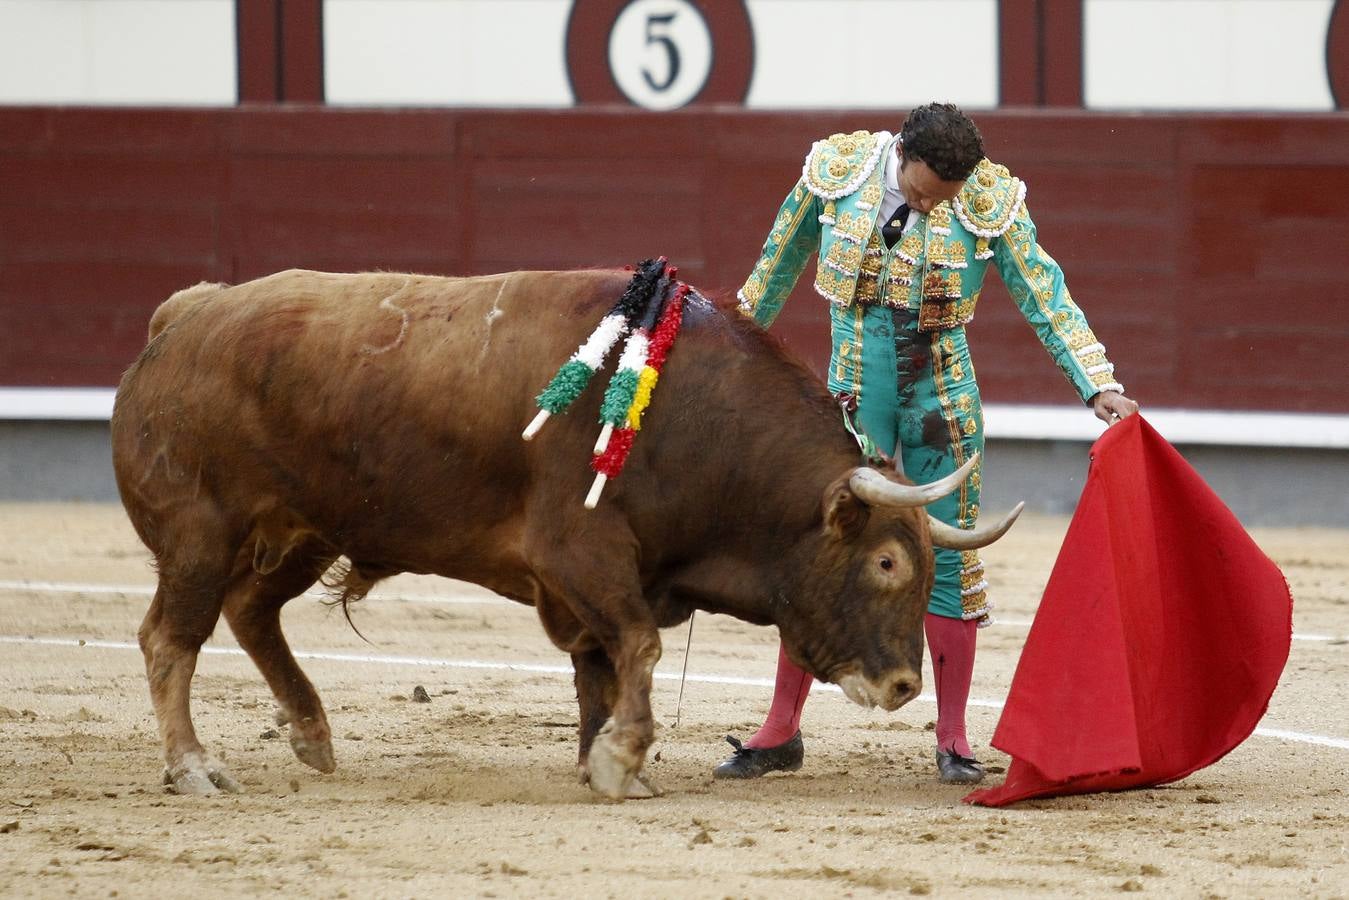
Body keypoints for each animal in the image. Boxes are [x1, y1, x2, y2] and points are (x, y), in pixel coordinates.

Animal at [113, 267, 1019, 804]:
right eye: (886, 560)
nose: (901, 685)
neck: (694, 418)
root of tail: (183, 315)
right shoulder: (580, 552)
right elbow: (638, 648)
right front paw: (621, 760)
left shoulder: (601, 580)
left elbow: (601, 667)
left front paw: (602, 760)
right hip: (199, 535)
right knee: (171, 637)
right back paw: (194, 767)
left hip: (306, 530)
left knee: (250, 612)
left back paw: (310, 733)